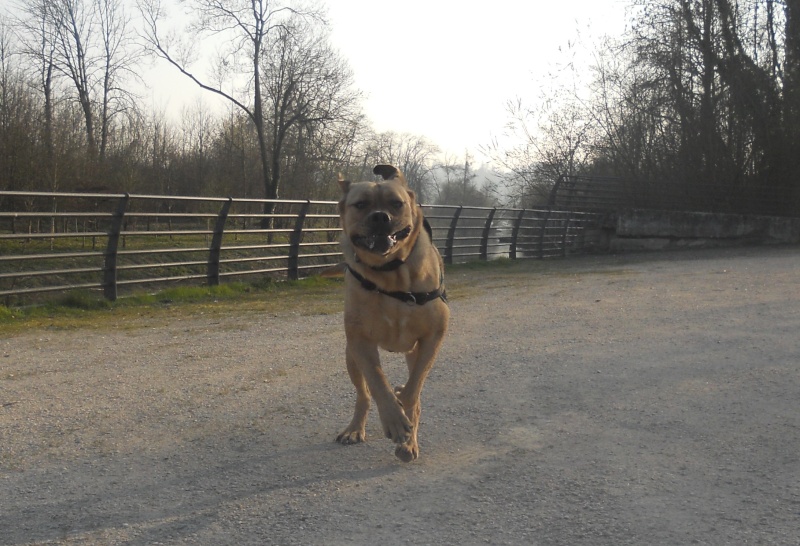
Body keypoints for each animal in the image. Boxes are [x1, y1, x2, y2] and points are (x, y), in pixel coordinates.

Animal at [334, 163, 450, 460]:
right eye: (360, 204)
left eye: (396, 203)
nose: (379, 217)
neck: (391, 274)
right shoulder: (360, 341)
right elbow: (377, 383)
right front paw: (394, 420)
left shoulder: (433, 337)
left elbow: (412, 392)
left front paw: (404, 420)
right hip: (350, 356)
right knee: (363, 395)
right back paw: (355, 428)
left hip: (414, 351)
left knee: (414, 388)